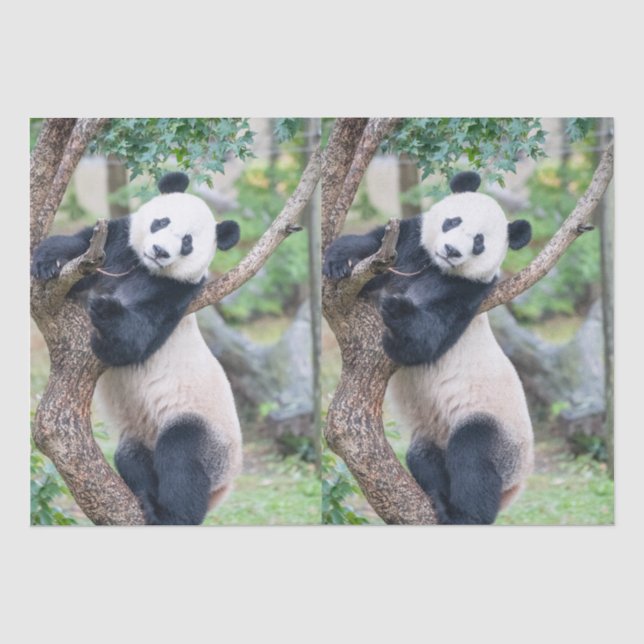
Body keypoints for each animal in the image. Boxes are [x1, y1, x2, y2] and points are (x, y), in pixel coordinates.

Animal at [31, 172, 243, 525]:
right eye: (161, 221)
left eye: (187, 242)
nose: (159, 250)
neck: (145, 268)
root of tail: (224, 489)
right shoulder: (117, 248)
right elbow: (81, 247)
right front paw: (49, 261)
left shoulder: (177, 293)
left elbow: (135, 340)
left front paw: (106, 311)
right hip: (139, 435)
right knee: (130, 457)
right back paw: (145, 496)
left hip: (209, 433)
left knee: (182, 457)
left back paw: (171, 515)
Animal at [323, 171, 534, 524]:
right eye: (453, 221)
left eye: (479, 242)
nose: (451, 249)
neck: (437, 267)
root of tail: (515, 488)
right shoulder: (408, 246)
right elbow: (373, 245)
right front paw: (340, 260)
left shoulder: (469, 293)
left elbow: (427, 339)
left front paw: (397, 311)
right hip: (431, 434)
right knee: (422, 457)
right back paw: (437, 497)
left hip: (499, 431)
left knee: (474, 457)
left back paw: (464, 515)